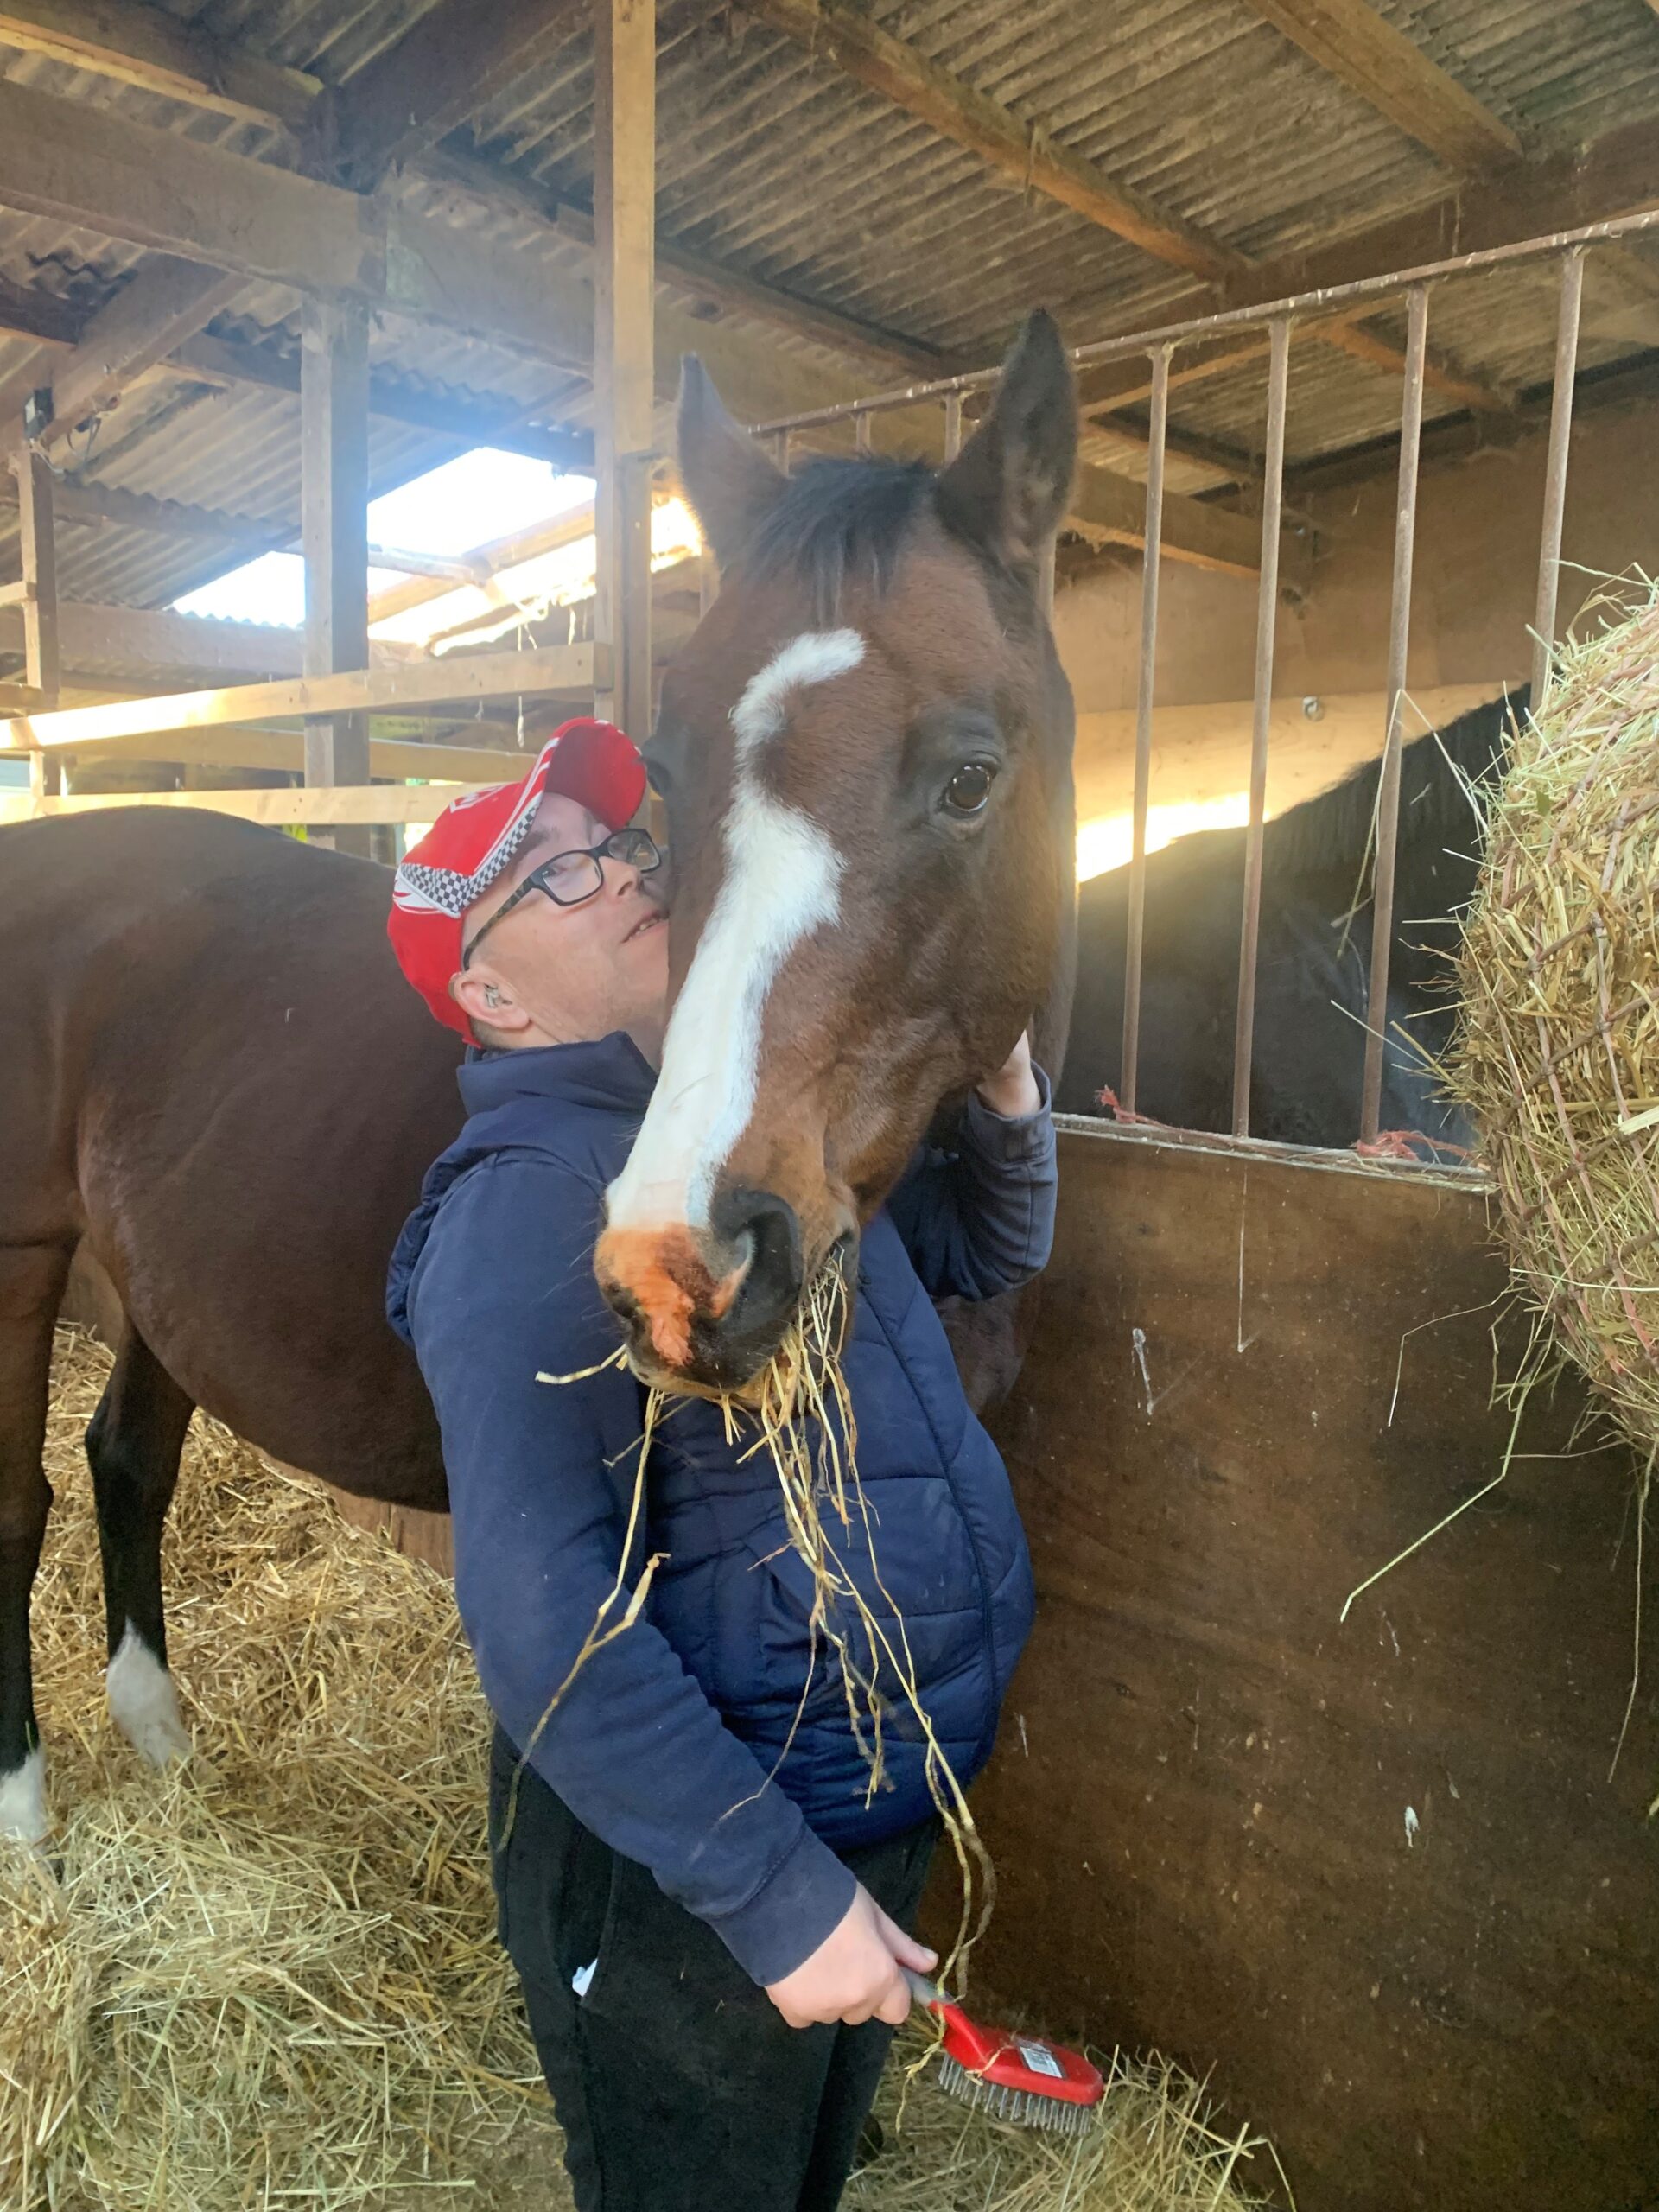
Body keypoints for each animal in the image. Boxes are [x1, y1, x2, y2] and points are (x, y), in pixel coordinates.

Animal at [0, 310, 1079, 1840]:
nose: (685, 1262)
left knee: (127, 1460)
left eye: (973, 776)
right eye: (670, 773)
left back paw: (160, 1739)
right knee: (15, 1505)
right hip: (20, 1263)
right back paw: (26, 1808)